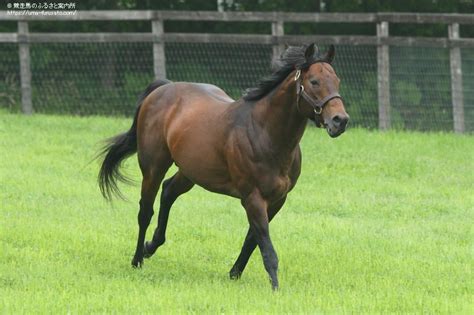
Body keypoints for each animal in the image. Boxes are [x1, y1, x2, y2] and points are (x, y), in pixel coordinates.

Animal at [97, 43, 348, 290]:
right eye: (314, 81)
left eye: (336, 80)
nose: (340, 120)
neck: (264, 133)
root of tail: (163, 89)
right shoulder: (252, 197)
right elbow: (266, 247)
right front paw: (275, 288)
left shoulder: (277, 200)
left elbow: (252, 239)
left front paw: (235, 273)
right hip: (153, 168)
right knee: (145, 211)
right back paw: (138, 259)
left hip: (190, 172)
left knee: (168, 191)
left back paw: (151, 246)